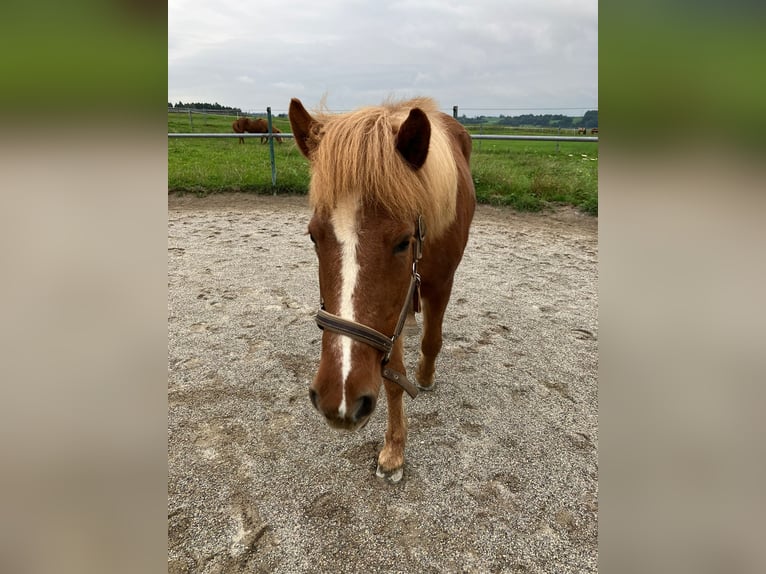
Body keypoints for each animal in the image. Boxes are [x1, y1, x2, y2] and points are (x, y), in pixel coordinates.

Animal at [289, 97, 476, 483]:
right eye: (313, 235)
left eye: (404, 242)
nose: (340, 398)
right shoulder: (392, 317)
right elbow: (393, 380)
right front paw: (394, 450)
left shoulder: (440, 285)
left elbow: (432, 342)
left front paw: (425, 376)